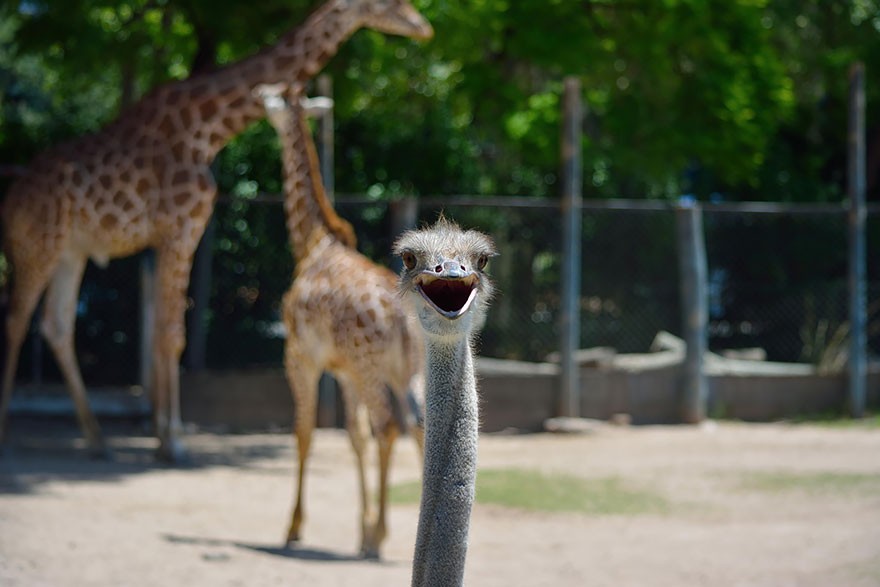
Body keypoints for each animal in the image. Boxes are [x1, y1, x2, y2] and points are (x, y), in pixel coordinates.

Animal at [0, 0, 434, 464]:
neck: (206, 130)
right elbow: (171, 334)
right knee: (17, 319)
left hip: (71, 250)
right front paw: (173, 441)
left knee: (56, 324)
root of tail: (12, 198)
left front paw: (163, 435)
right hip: (37, 245)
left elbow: (164, 332)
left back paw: (97, 439)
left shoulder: (175, 231)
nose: (423, 27)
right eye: (388, 4)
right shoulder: (181, 226)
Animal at [254, 82, 426, 560]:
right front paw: (359, 529)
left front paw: (294, 527)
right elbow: (354, 437)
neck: (313, 242)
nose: (255, 94)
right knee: (419, 428)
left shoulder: (300, 356)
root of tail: (404, 320)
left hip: (373, 368)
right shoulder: (344, 370)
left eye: (273, 98)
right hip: (408, 369)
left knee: (389, 426)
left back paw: (381, 537)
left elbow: (304, 432)